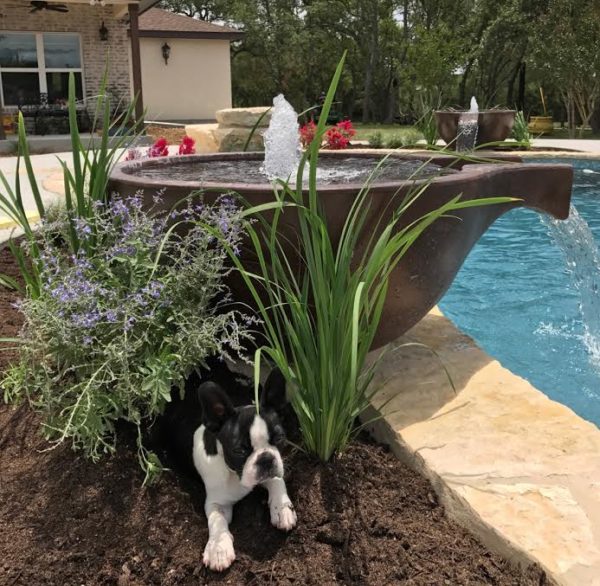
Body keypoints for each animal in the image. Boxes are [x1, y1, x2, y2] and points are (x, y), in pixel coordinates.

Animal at [158, 360, 296, 572]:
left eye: (280, 438)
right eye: (239, 450)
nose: (265, 458)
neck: (235, 475)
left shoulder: (271, 471)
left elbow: (277, 480)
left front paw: (282, 508)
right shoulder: (216, 502)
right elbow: (217, 519)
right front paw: (218, 548)